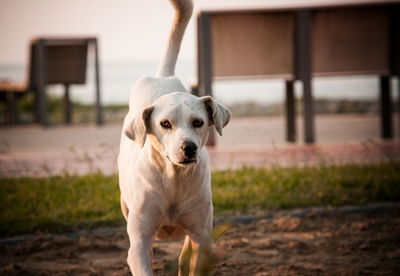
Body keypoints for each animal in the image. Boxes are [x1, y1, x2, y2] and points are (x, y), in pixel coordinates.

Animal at [118, 0, 231, 274]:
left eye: (198, 122)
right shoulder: (139, 243)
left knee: (184, 254)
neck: (173, 180)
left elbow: (196, 255)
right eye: (165, 124)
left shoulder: (202, 236)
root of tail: (162, 76)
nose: (189, 148)